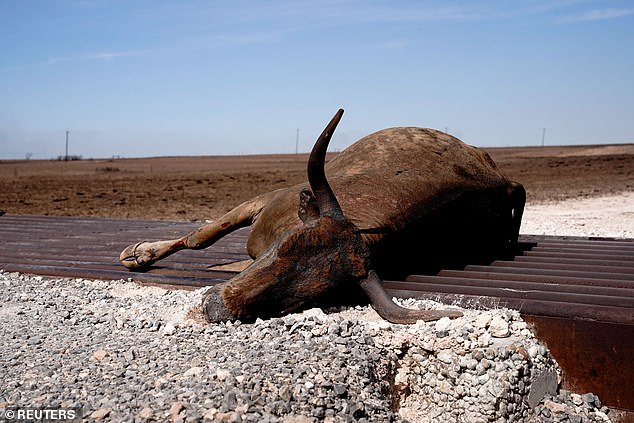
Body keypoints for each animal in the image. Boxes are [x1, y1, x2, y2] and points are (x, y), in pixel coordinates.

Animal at [119, 109, 524, 324]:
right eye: (282, 247)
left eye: (301, 299)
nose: (216, 305)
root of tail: (506, 181)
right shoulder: (265, 199)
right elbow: (201, 237)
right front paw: (140, 253)